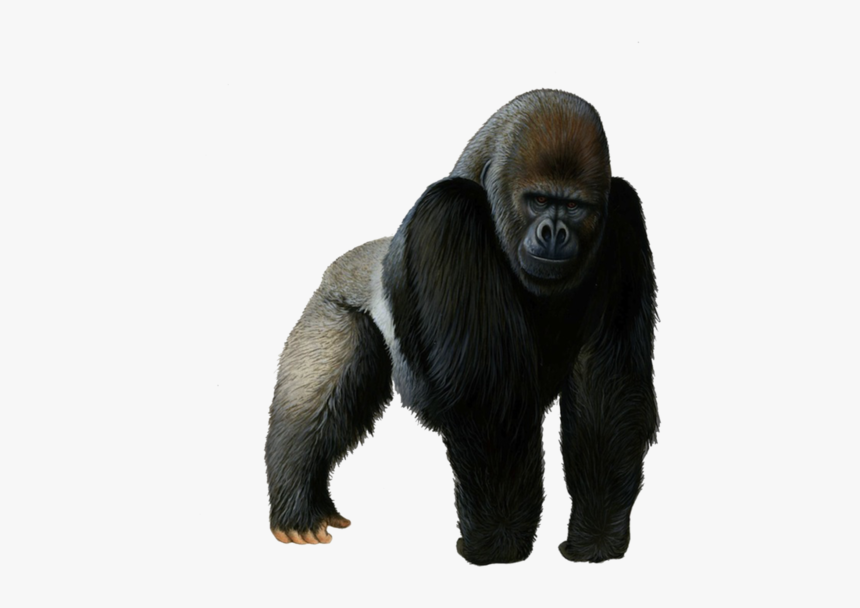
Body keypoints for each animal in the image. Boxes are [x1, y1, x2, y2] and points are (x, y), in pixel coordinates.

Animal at [265, 89, 658, 564]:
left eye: (574, 206)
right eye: (538, 201)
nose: (554, 232)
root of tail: (360, 256)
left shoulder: (623, 216)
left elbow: (608, 387)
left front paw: (595, 539)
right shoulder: (449, 212)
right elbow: (489, 401)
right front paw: (498, 543)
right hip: (333, 302)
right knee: (313, 397)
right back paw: (299, 502)